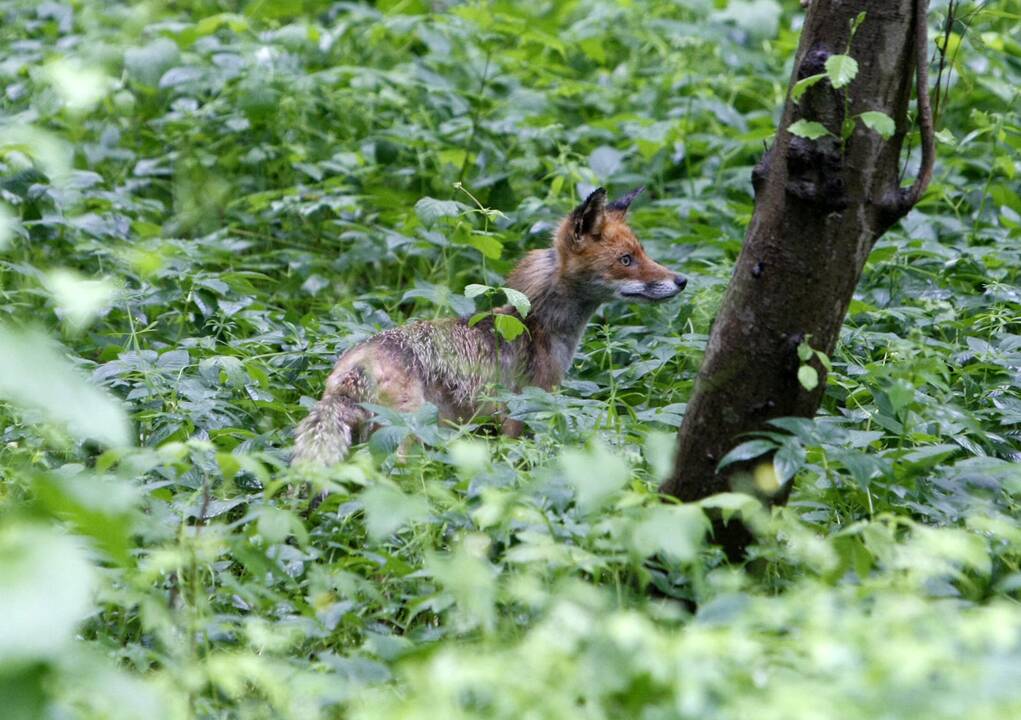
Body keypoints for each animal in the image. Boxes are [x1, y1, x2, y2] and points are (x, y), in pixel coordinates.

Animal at [289, 186, 686, 465]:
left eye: (643, 253)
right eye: (626, 260)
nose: (682, 280)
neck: (539, 325)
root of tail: (356, 365)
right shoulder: (522, 413)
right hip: (407, 437)